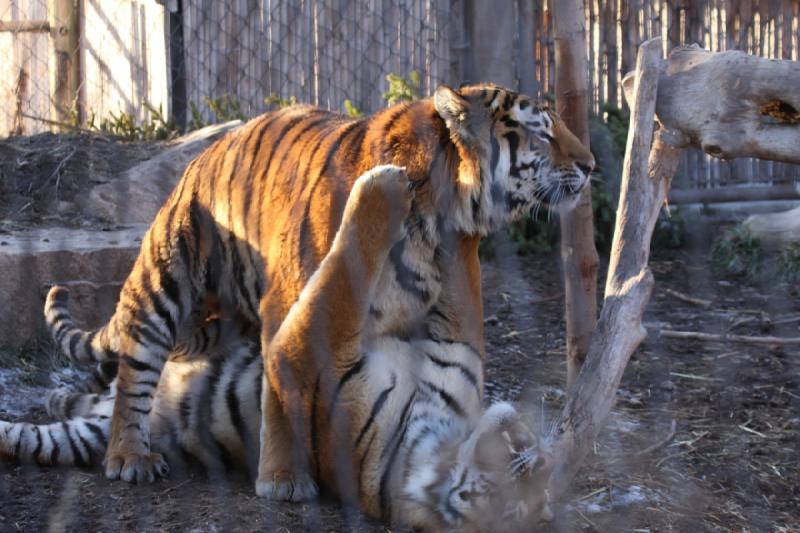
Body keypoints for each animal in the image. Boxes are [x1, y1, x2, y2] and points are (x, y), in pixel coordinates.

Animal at [28, 86, 592, 512]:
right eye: (544, 131)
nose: (589, 165)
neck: (434, 220)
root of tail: (209, 148)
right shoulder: (291, 303)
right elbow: (280, 398)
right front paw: (282, 478)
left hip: (222, 322)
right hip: (165, 274)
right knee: (135, 370)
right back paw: (129, 456)